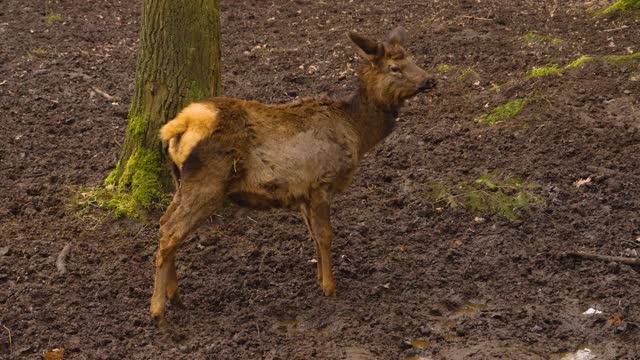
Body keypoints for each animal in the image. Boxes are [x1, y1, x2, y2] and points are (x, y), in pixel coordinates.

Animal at [150, 26, 436, 324]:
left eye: (412, 58)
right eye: (395, 67)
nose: (430, 80)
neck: (357, 133)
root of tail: (177, 127)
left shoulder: (303, 192)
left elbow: (313, 235)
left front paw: (319, 279)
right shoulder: (322, 181)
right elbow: (326, 235)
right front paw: (331, 288)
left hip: (181, 181)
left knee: (164, 223)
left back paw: (175, 296)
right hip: (207, 183)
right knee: (171, 231)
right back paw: (157, 308)